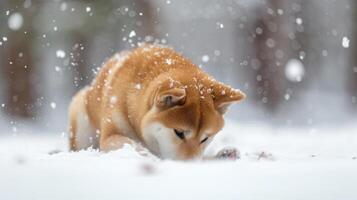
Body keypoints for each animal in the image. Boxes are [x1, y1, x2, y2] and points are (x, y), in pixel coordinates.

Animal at [68, 44, 243, 160]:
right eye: (179, 132)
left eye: (205, 138)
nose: (189, 166)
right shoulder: (109, 136)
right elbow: (127, 143)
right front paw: (145, 154)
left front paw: (222, 155)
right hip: (81, 117)